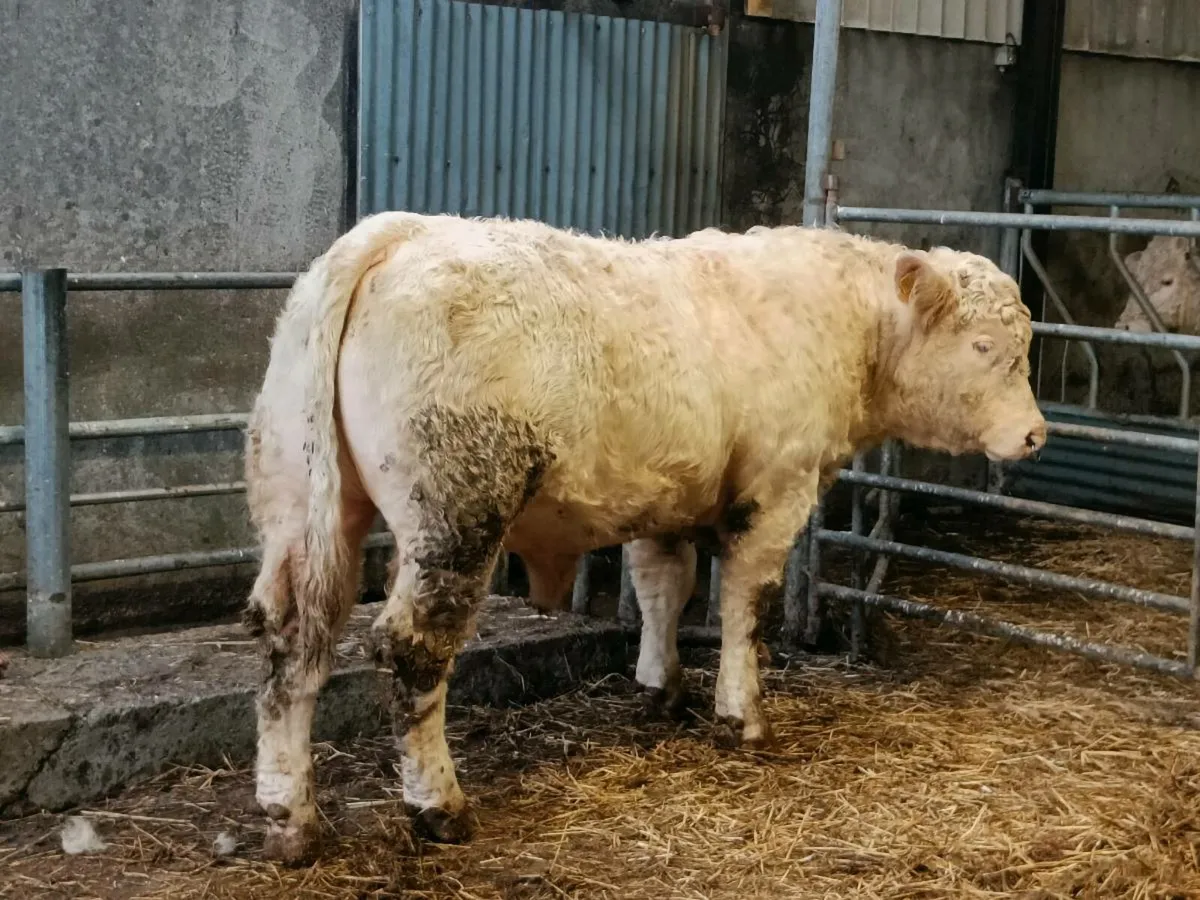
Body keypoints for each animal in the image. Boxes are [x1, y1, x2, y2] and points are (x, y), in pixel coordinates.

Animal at [242, 211, 1046, 865]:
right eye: (984, 346)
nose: (1036, 435)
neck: (841, 327)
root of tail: (395, 235)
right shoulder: (776, 490)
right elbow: (744, 603)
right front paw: (742, 714)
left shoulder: (667, 493)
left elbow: (664, 585)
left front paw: (661, 687)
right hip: (455, 512)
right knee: (412, 649)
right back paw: (439, 805)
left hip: (300, 504)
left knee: (292, 640)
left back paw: (291, 818)